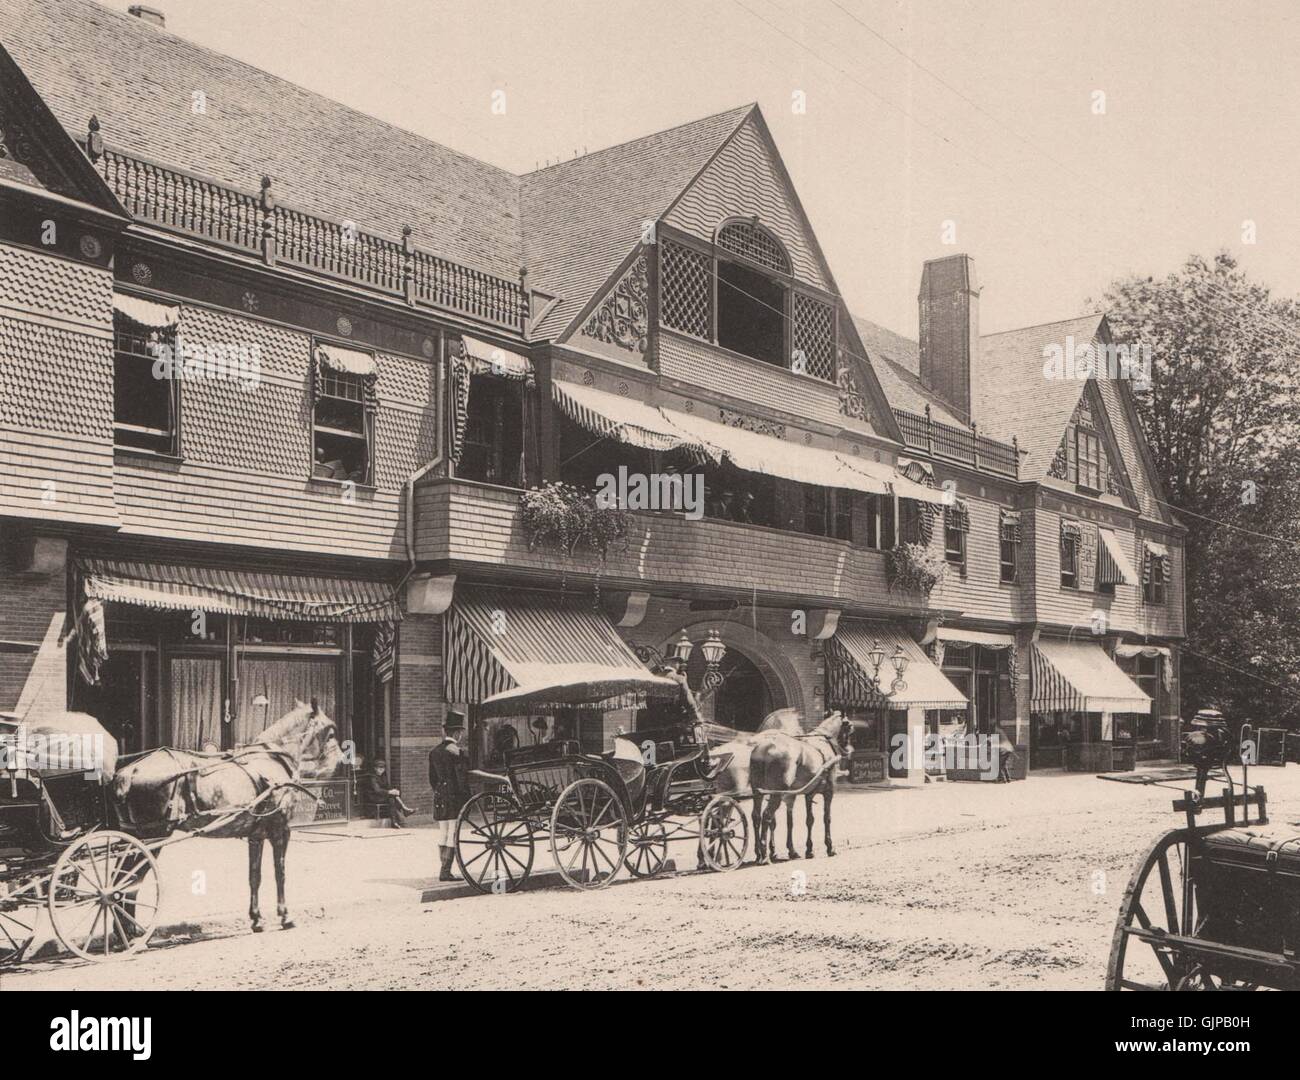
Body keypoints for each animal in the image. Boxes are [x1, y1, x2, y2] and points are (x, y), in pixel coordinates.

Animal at [111, 707, 343, 935]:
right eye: (331, 733)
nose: (342, 761)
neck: (272, 759)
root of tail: (129, 771)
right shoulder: (280, 830)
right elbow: (280, 872)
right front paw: (285, 916)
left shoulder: (256, 835)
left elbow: (254, 876)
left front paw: (256, 918)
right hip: (152, 836)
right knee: (128, 882)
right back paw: (130, 929)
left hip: (132, 836)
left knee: (120, 879)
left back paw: (124, 929)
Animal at [743, 712, 852, 868]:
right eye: (849, 726)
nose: (848, 749)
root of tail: (764, 749)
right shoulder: (829, 792)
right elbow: (827, 818)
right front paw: (830, 847)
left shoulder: (808, 794)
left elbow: (808, 820)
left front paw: (808, 850)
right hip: (776, 794)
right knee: (767, 816)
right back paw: (764, 855)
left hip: (758, 792)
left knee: (756, 816)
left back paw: (758, 853)